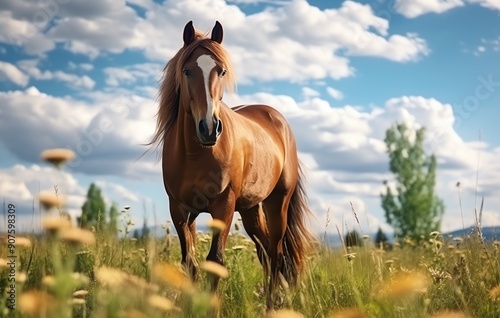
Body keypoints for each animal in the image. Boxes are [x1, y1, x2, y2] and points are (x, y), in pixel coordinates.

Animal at [152, 19, 314, 308]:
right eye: (186, 71)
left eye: (222, 71)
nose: (208, 128)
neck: (196, 154)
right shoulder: (180, 210)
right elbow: (190, 263)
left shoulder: (223, 206)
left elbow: (215, 262)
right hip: (250, 209)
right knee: (265, 252)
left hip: (277, 204)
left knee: (276, 253)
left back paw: (272, 306)